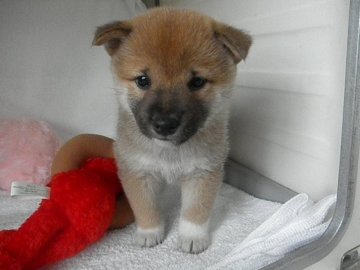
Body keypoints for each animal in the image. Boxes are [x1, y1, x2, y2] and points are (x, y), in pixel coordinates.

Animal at [93, 7, 250, 253]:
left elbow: (196, 211)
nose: (164, 124)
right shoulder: (138, 172)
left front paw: (192, 237)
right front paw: (149, 232)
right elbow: (145, 207)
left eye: (197, 82)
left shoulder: (202, 172)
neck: (169, 153)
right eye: (143, 80)